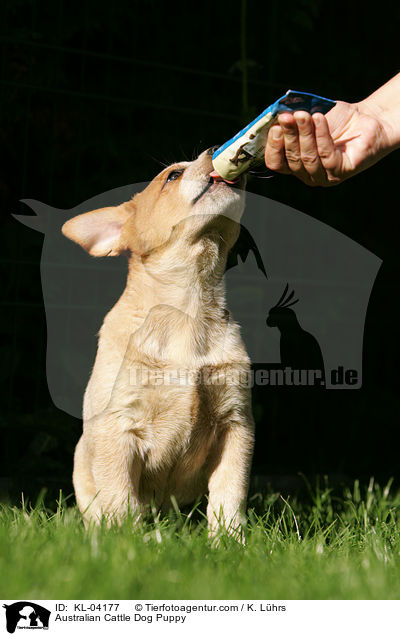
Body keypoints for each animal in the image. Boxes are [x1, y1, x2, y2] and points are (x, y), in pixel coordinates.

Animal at [61, 148, 255, 540]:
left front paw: (228, 541)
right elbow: (121, 498)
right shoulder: (118, 428)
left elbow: (229, 492)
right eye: (173, 176)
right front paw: (126, 543)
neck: (189, 312)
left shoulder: (236, 424)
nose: (214, 152)